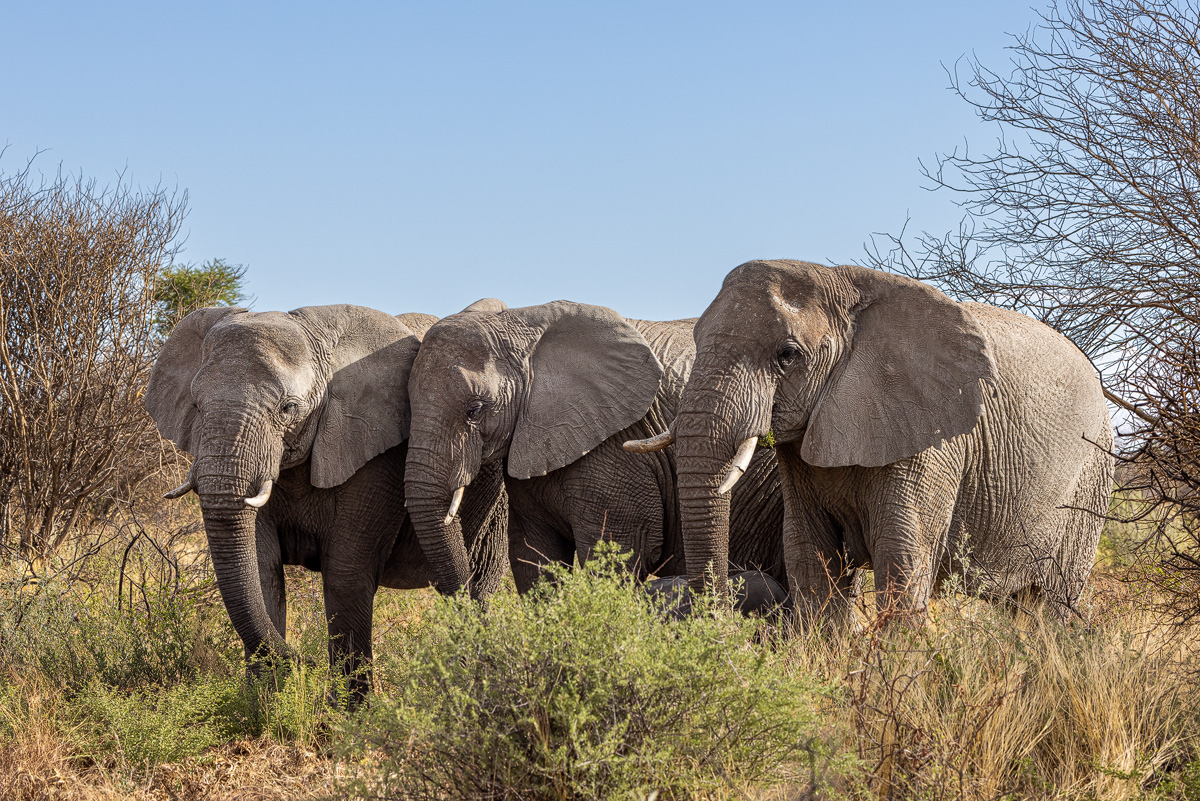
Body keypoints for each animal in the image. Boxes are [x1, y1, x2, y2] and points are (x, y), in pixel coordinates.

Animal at [144, 304, 507, 698]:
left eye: (288, 408)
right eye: (196, 405)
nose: (303, 661)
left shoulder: (377, 453)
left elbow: (345, 573)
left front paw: (349, 707)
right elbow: (261, 569)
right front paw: (263, 701)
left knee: (482, 587)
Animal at [625, 259, 1113, 627]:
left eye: (787, 355)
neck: (844, 283)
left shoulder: (933, 440)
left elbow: (901, 555)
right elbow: (810, 556)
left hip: (1089, 484)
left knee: (1052, 604)